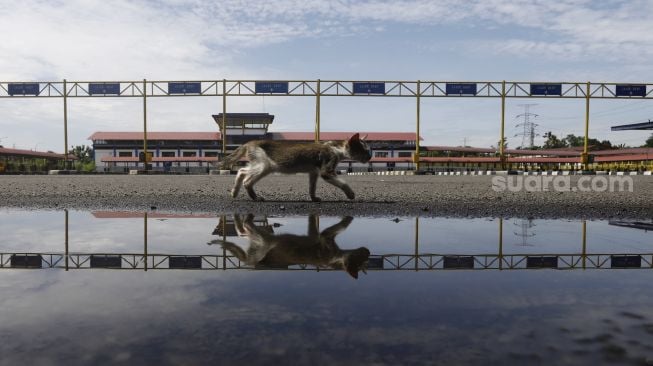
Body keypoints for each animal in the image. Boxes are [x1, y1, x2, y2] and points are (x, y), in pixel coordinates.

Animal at [210, 213, 372, 278]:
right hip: (265, 240)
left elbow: (314, 226)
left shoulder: (318, 236)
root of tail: (257, 261)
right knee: (246, 225)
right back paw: (244, 217)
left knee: (243, 230)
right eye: (360, 258)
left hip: (260, 242)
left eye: (365, 259)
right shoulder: (325, 238)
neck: (336, 258)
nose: (368, 251)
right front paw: (348, 218)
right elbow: (342, 226)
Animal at [220, 133, 370, 202]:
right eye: (365, 150)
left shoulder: (313, 172)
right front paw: (351, 194)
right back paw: (255, 197)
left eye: (370, 150)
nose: (370, 156)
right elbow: (343, 182)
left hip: (261, 165)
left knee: (241, 171)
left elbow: (312, 187)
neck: (336, 148)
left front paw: (314, 198)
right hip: (265, 165)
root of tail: (250, 142)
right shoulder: (326, 169)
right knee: (246, 178)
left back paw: (234, 192)